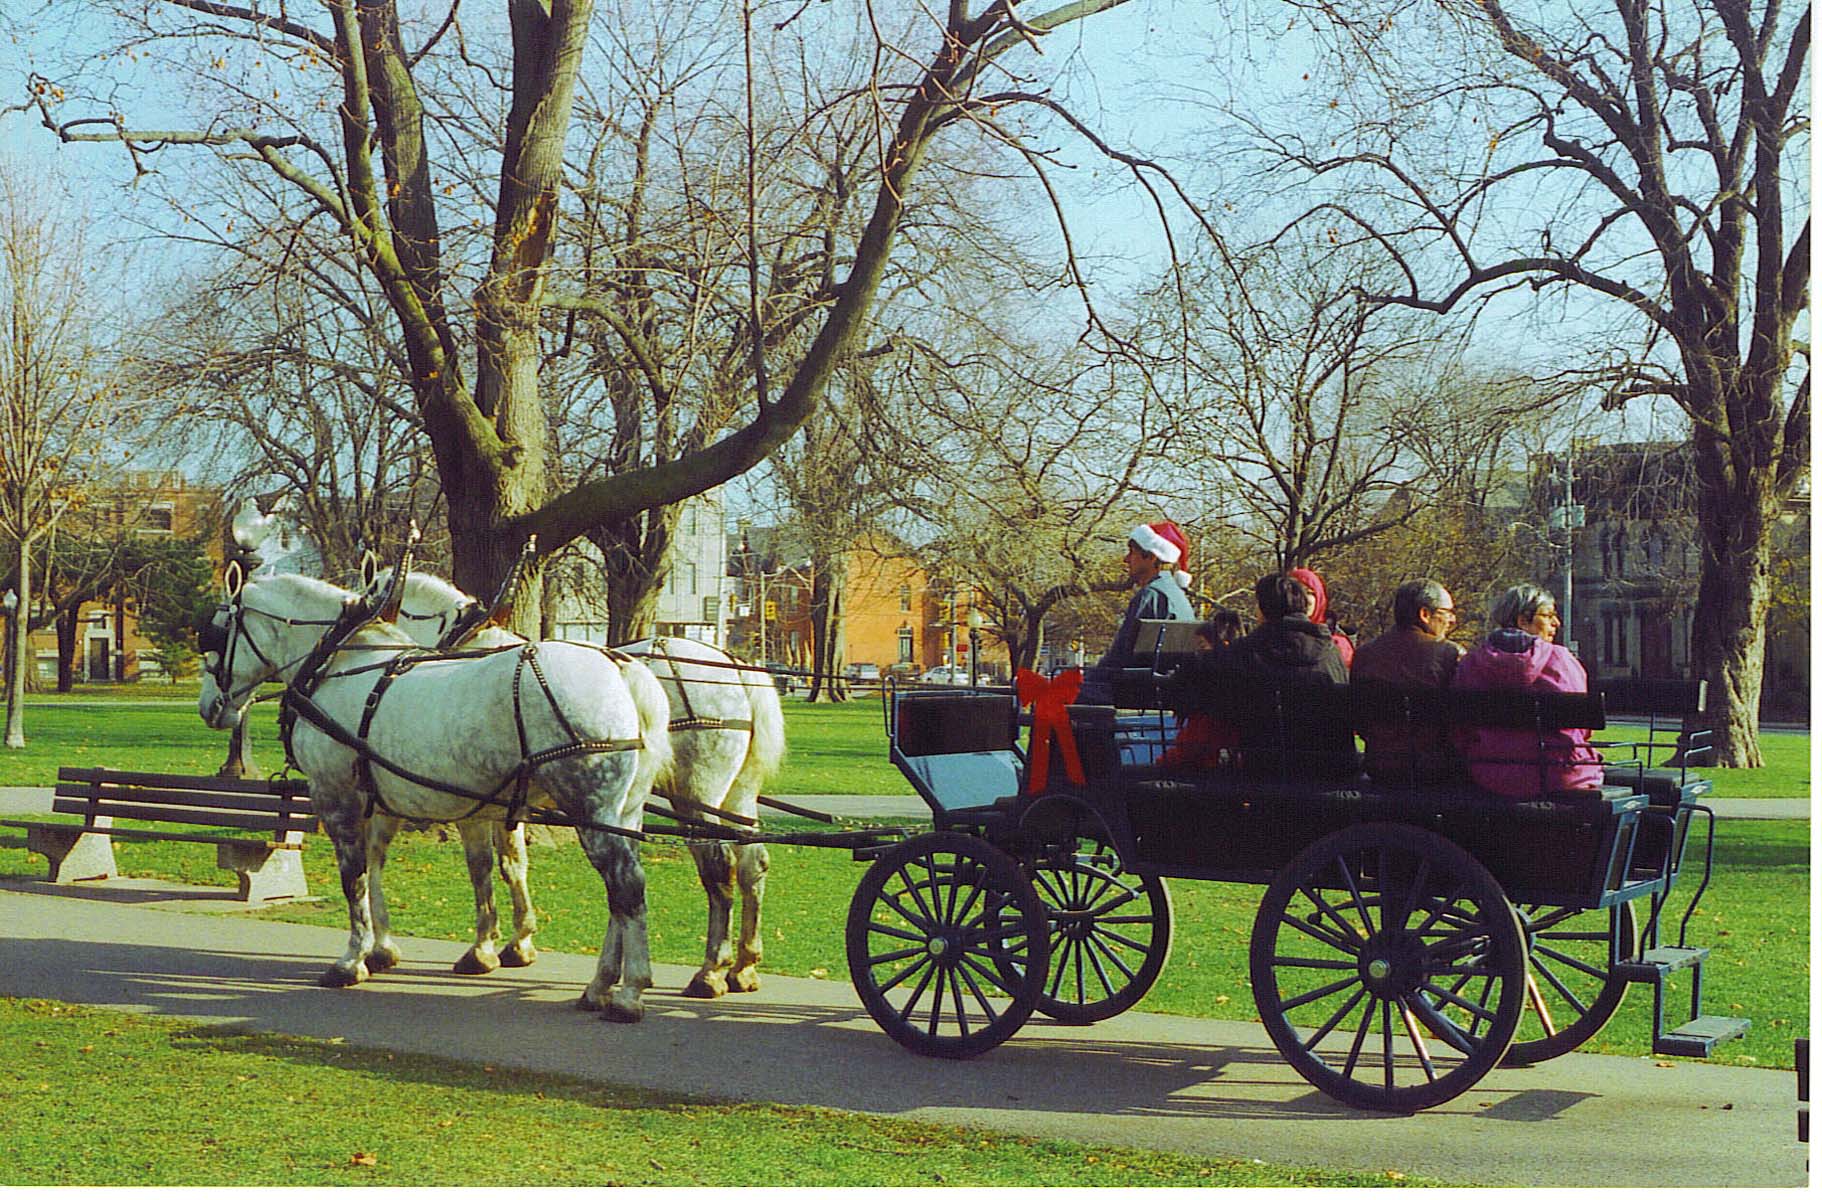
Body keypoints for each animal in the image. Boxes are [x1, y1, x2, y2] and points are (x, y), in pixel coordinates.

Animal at [195, 571, 677, 1027]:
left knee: (626, 887)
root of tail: (621, 666)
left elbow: (355, 877)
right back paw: (599, 987)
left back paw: (628, 993)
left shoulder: (336, 796)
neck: (340, 663)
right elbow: (381, 867)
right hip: (622, 813)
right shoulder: (384, 803)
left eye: (215, 633)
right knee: (620, 894)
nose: (208, 708)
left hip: (591, 808)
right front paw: (384, 949)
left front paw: (352, 960)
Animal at [384, 571, 783, 997]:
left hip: (694, 794)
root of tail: (735, 667)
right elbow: (514, 863)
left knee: (717, 869)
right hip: (737, 793)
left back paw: (709, 970)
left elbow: (484, 867)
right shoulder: (510, 802)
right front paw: (519, 941)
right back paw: (743, 965)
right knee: (752, 863)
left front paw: (485, 948)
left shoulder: (477, 804)